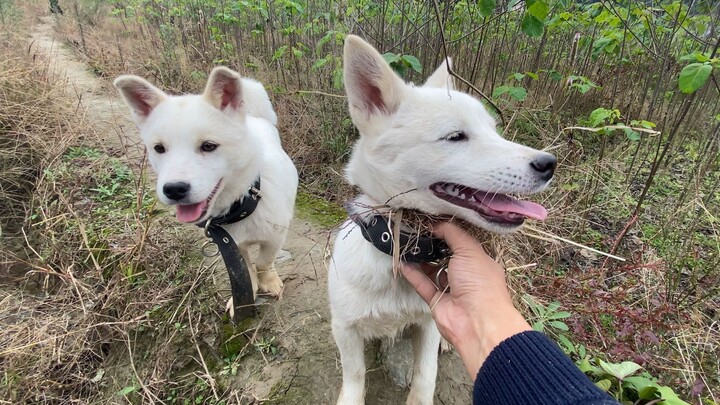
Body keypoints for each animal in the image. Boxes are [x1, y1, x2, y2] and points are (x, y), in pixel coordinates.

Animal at [113, 66, 298, 298]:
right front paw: (249, 291)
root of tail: (252, 117)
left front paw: (269, 281)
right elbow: (246, 270)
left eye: (209, 146)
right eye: (159, 148)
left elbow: (264, 262)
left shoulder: (275, 237)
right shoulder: (233, 245)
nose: (174, 189)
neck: (242, 203)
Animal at [328, 35, 556, 404]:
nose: (549, 163)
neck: (397, 248)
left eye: (494, 132)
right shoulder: (344, 327)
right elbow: (355, 373)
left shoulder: (428, 322)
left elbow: (426, 374)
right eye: (455, 136)